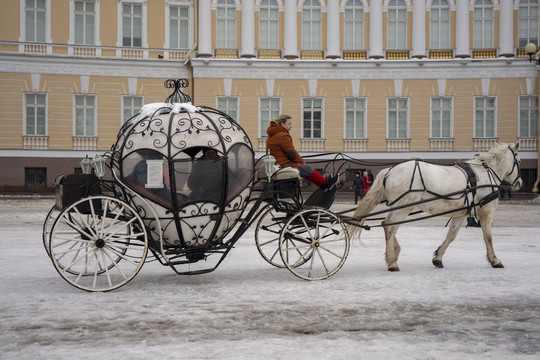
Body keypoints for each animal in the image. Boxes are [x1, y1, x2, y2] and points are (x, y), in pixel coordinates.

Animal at [350, 142, 524, 272]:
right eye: (518, 161)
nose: (519, 183)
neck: (485, 173)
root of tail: (390, 170)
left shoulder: (461, 213)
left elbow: (451, 235)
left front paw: (438, 258)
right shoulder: (487, 211)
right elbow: (488, 236)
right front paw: (494, 260)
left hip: (398, 207)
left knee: (387, 225)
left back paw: (393, 253)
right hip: (403, 207)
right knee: (390, 226)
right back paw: (392, 262)